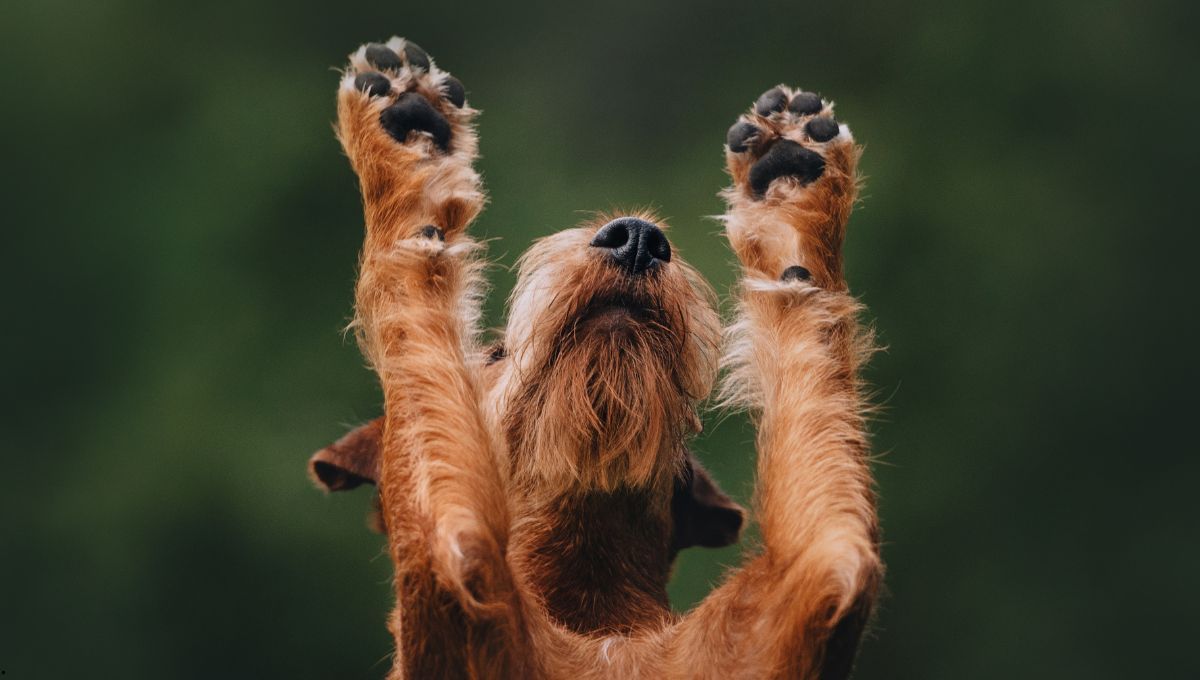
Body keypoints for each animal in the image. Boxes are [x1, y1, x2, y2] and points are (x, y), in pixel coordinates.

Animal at [309, 38, 883, 680]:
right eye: (496, 352)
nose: (637, 237)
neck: (593, 606)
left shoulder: (819, 582)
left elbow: (811, 332)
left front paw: (791, 194)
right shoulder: (460, 557)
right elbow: (411, 285)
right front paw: (407, 152)